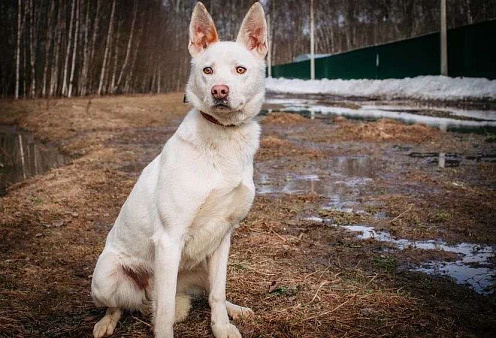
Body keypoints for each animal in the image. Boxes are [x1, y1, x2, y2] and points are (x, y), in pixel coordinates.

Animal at [90, 2, 268, 338]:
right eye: (207, 70)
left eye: (240, 70)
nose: (220, 91)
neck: (223, 138)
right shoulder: (169, 239)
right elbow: (163, 314)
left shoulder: (224, 235)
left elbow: (218, 293)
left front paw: (221, 327)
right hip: (105, 277)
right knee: (121, 305)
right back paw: (106, 322)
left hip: (200, 266)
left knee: (207, 292)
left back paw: (235, 310)